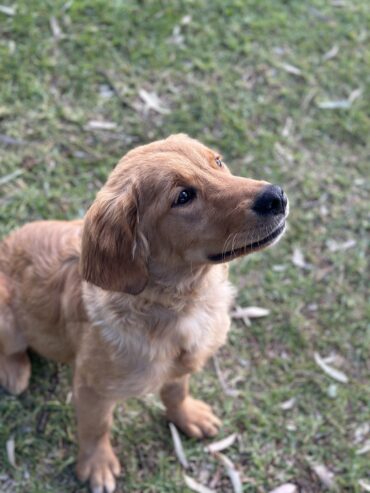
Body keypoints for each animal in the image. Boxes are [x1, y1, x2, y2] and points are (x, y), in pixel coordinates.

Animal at [0, 135, 288, 492]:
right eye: (183, 197)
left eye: (217, 162)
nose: (277, 196)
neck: (182, 303)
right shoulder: (91, 388)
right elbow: (96, 426)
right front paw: (97, 464)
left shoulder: (180, 367)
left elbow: (177, 391)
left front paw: (188, 416)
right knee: (11, 349)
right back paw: (15, 372)